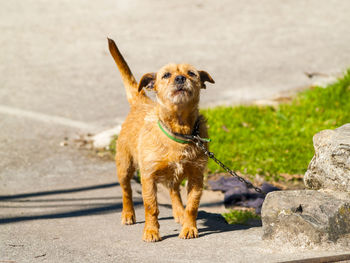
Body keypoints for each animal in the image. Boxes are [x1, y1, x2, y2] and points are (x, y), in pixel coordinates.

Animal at [108, 38, 215, 242]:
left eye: (191, 73)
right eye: (166, 75)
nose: (180, 78)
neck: (179, 130)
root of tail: (140, 101)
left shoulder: (196, 176)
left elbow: (192, 206)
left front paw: (189, 227)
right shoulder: (148, 176)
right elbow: (151, 207)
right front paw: (151, 231)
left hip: (173, 174)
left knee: (174, 190)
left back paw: (179, 213)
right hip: (124, 166)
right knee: (126, 191)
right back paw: (128, 214)